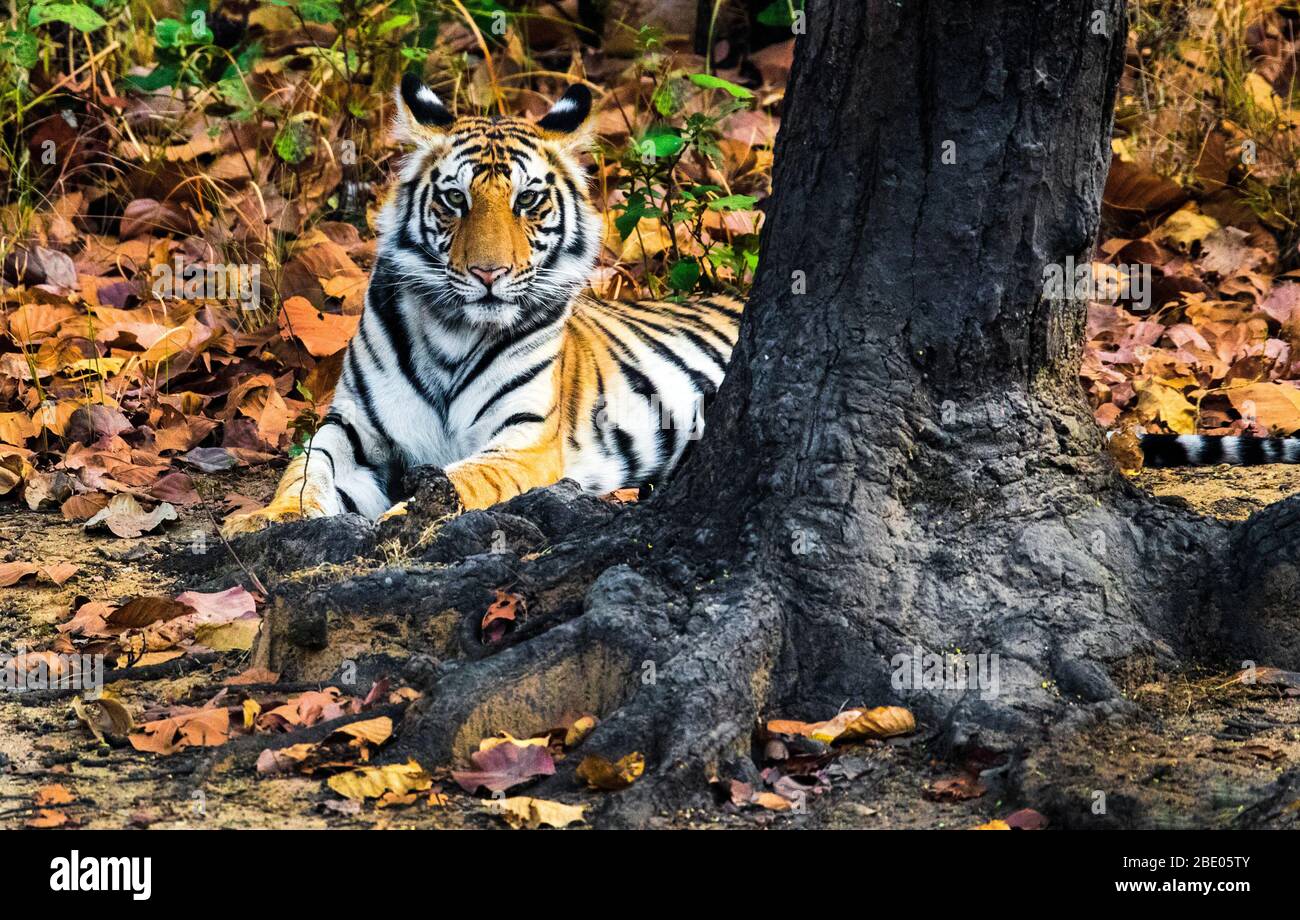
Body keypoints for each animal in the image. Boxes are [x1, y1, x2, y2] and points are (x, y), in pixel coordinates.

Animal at [221, 75, 743, 536]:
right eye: (456, 198)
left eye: (527, 200)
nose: (488, 273)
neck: (452, 334)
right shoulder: (353, 427)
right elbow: (307, 469)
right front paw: (273, 515)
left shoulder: (524, 438)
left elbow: (470, 476)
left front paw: (406, 515)